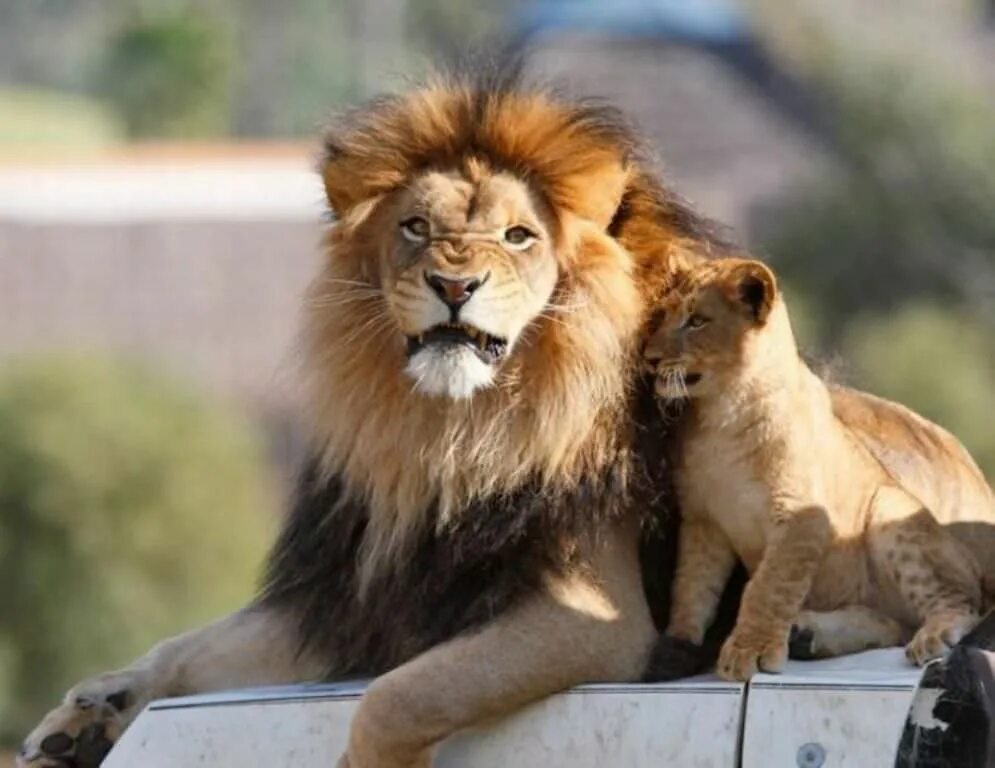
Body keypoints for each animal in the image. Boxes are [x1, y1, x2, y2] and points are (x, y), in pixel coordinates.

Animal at [15, 70, 732, 768]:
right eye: (415, 227)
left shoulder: (595, 615)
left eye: (518, 236)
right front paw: (86, 714)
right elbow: (189, 647)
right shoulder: (348, 596)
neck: (443, 434)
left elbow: (398, 695)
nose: (453, 285)